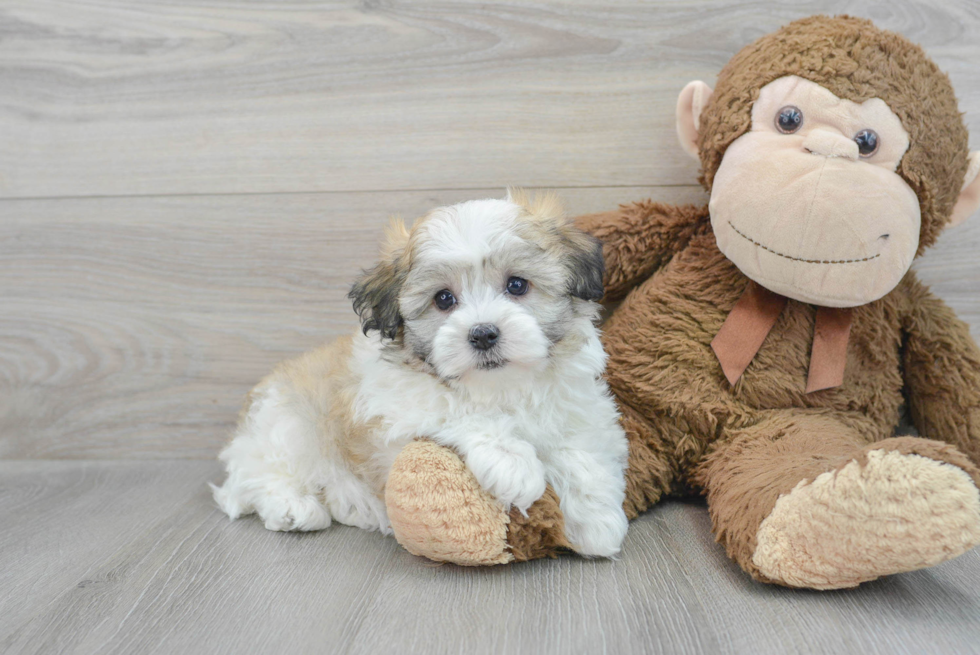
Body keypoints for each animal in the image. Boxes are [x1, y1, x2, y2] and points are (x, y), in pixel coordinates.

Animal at [212, 191, 628, 560]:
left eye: (517, 284)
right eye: (443, 299)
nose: (483, 333)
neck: (501, 388)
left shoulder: (578, 405)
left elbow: (580, 451)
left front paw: (596, 520)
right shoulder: (398, 402)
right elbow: (458, 410)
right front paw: (512, 461)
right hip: (286, 425)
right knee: (260, 475)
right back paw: (293, 507)